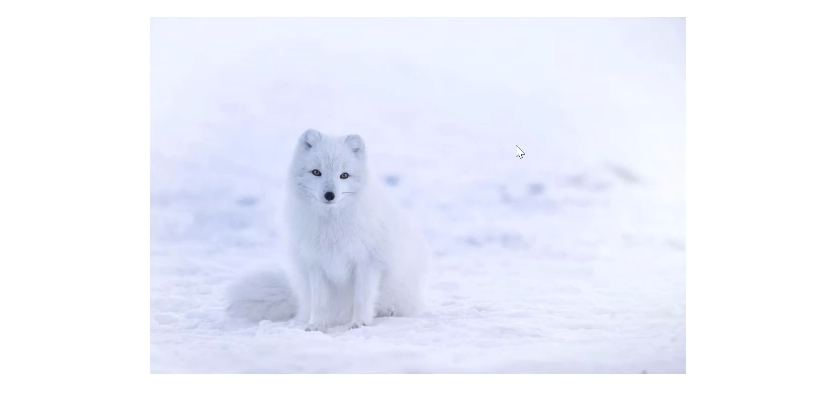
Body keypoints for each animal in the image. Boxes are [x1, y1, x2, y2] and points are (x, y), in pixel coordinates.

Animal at [227, 128, 428, 330]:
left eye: (344, 175)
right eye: (316, 172)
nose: (329, 195)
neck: (332, 226)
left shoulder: (367, 262)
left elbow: (362, 299)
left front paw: (359, 322)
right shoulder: (316, 264)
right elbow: (320, 302)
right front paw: (316, 325)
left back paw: (388, 311)